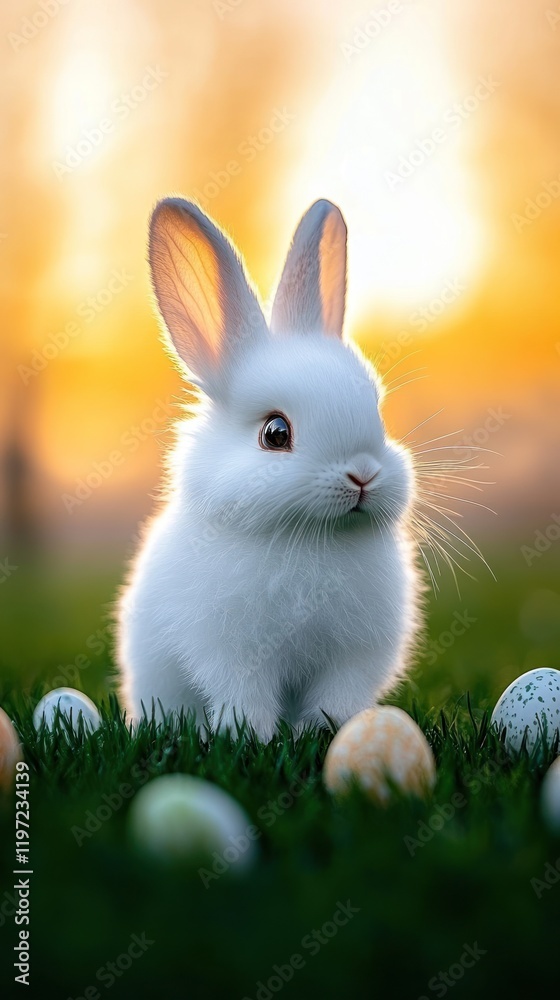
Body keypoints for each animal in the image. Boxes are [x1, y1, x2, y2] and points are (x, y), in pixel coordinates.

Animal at [117, 196, 422, 741]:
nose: (362, 475)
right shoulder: (232, 653)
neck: (314, 539)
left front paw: (319, 734)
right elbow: (246, 697)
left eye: (377, 412)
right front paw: (248, 737)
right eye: (275, 434)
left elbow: (335, 702)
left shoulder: (353, 660)